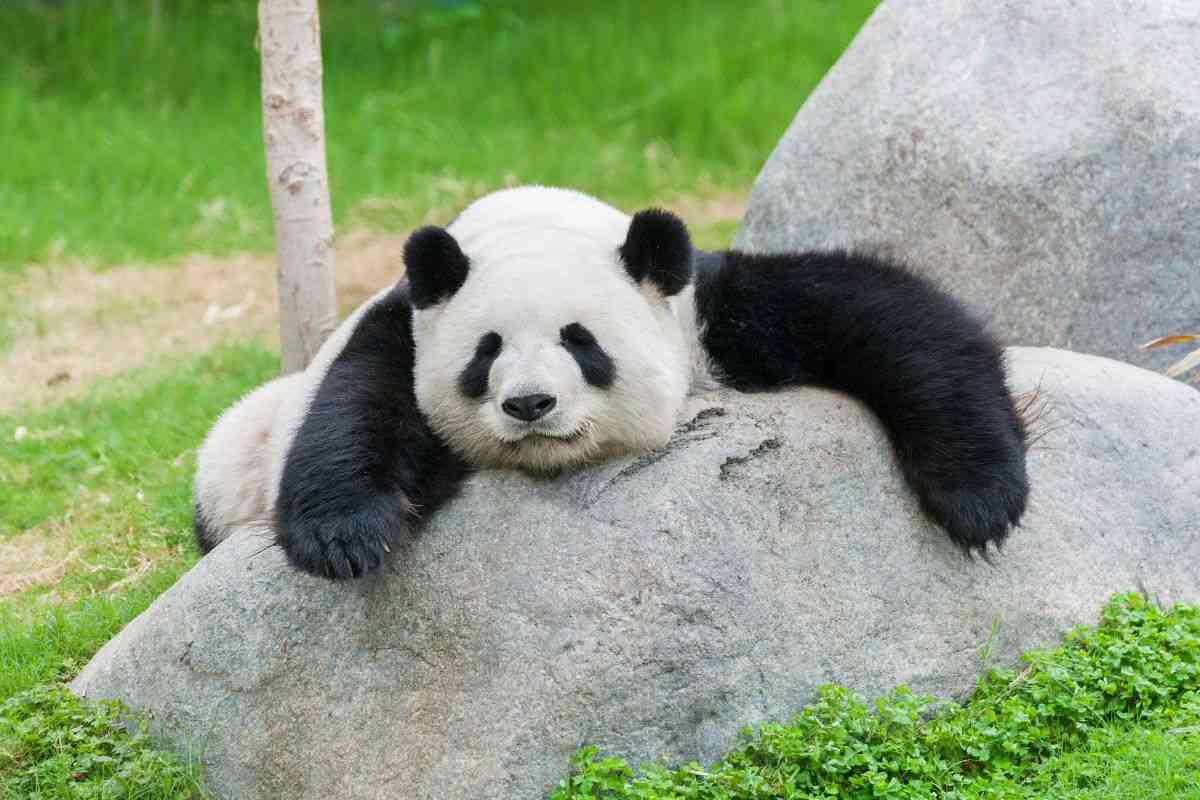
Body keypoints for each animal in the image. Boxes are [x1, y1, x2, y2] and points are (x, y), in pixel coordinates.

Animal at [193, 186, 1029, 580]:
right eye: (486, 353)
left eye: (581, 341)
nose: (530, 404)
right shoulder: (404, 323)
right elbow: (357, 403)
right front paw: (347, 536)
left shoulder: (705, 311)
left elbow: (885, 316)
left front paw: (979, 498)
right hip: (231, 460)